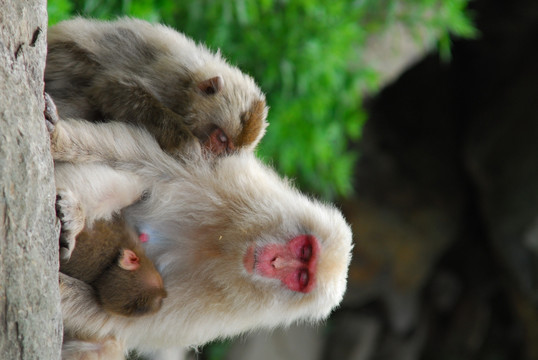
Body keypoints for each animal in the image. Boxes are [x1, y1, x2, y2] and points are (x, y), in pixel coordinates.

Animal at [45, 16, 266, 155]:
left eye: (229, 148)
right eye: (222, 139)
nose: (213, 152)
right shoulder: (170, 78)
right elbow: (111, 88)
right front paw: (186, 144)